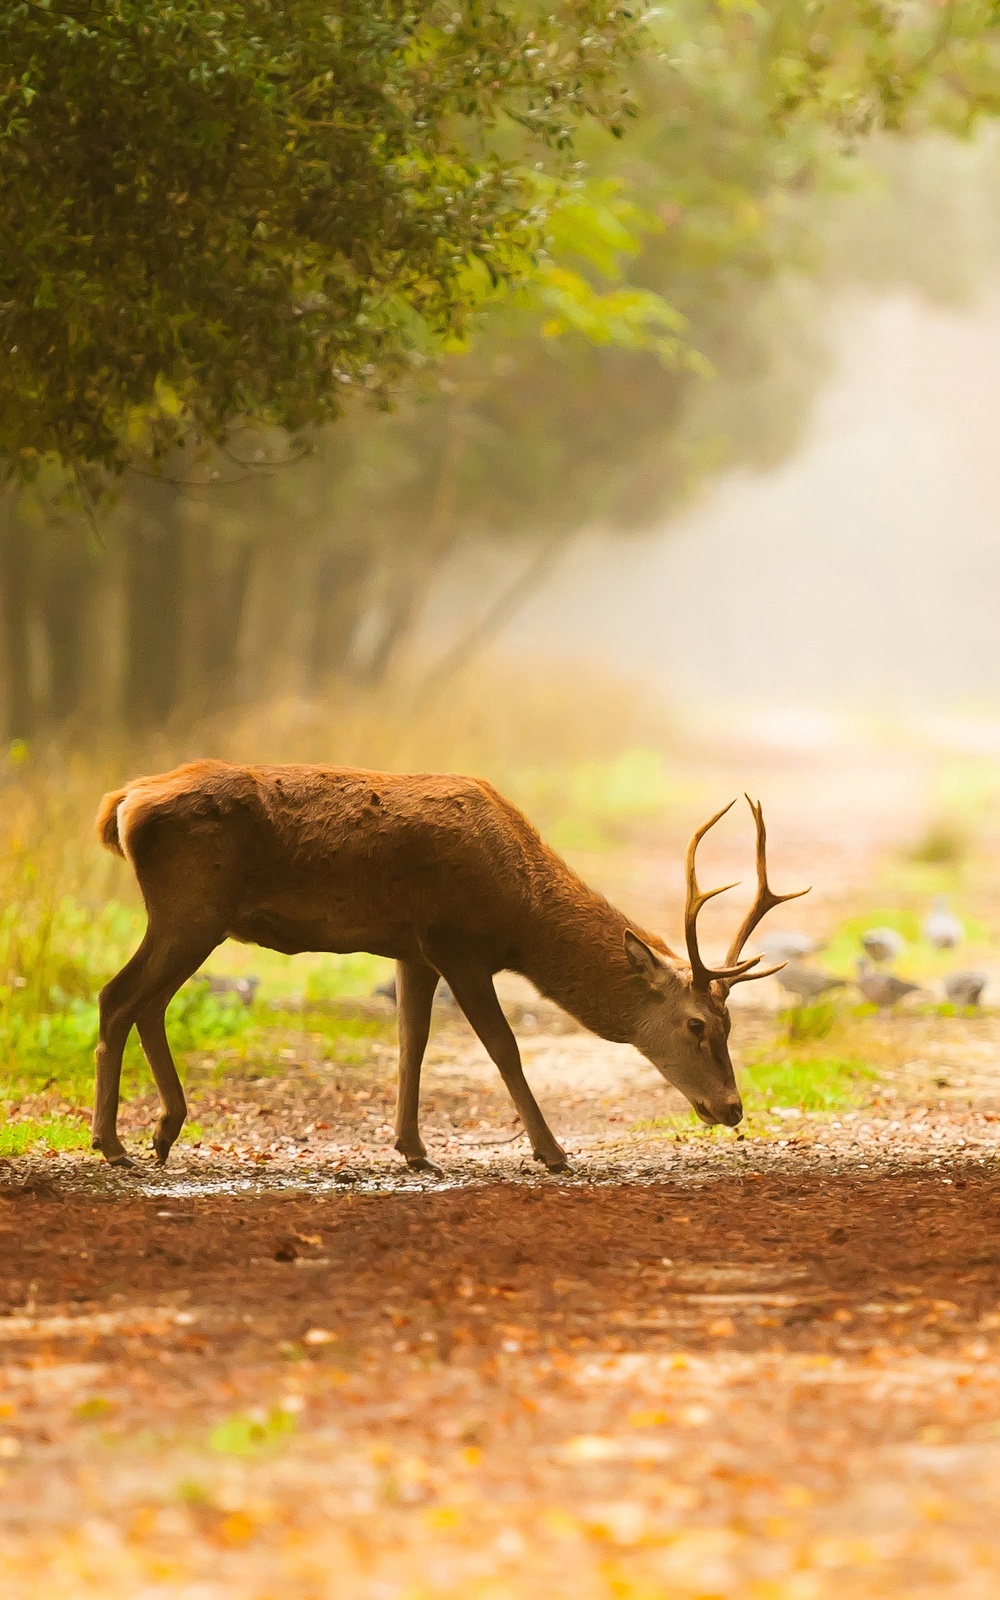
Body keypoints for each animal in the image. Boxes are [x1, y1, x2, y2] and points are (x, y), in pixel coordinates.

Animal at [87, 755, 803, 1171]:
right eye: (697, 1025)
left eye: (732, 1026)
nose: (732, 1108)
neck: (520, 914)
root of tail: (121, 803)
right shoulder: (459, 943)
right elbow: (503, 1047)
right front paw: (552, 1153)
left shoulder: (413, 949)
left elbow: (413, 1042)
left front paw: (413, 1151)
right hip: (193, 906)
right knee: (118, 996)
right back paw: (115, 1143)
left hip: (191, 915)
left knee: (142, 1001)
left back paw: (161, 1133)